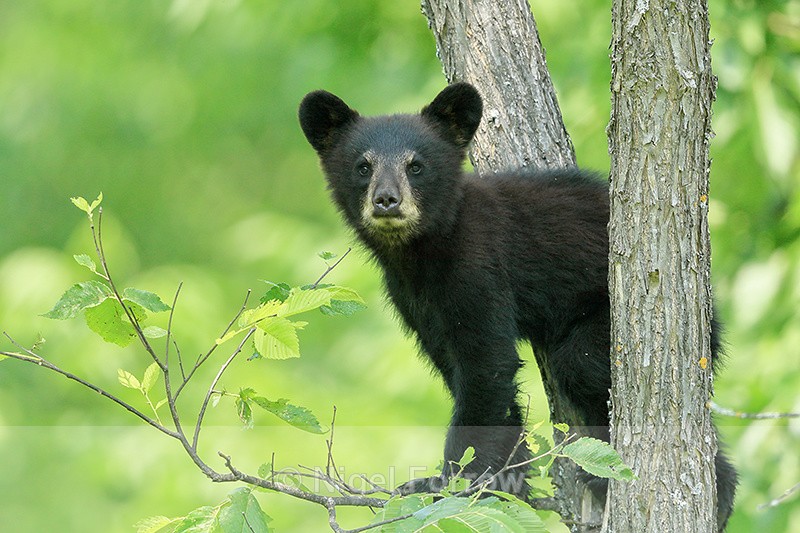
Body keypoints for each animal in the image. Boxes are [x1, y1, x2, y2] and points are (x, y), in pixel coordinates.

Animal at [298, 82, 736, 530]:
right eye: (363, 166)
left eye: (416, 165)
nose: (387, 200)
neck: (423, 252)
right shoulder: (414, 301)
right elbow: (464, 372)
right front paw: (507, 478)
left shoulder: (478, 268)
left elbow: (486, 366)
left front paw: (449, 485)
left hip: (614, 318)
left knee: (583, 366)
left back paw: (713, 493)